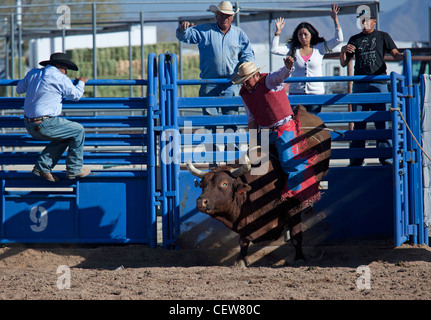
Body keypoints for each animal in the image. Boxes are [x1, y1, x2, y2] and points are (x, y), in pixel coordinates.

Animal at [187, 105, 332, 264]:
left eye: (224, 184)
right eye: (202, 184)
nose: (201, 202)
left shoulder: (292, 209)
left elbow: (296, 235)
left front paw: (299, 258)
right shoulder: (244, 222)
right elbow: (243, 241)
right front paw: (241, 260)